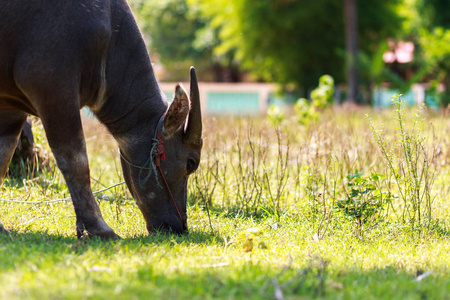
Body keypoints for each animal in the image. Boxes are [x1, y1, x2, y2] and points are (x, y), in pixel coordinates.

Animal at [0, 0, 202, 239]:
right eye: (191, 163)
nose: (180, 226)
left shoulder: (11, 106)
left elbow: (3, 157)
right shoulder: (52, 87)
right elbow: (76, 162)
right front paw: (100, 228)